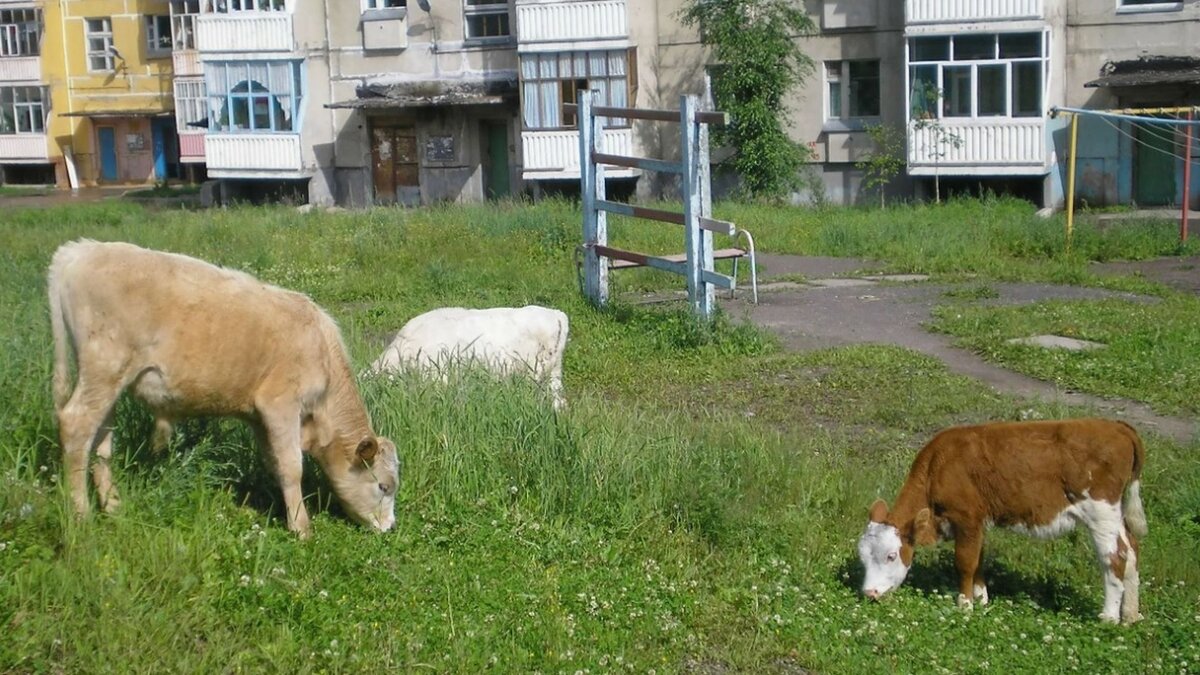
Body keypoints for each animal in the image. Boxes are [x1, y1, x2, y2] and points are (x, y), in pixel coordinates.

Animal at [49, 236, 400, 535]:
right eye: (383, 486)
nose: (389, 527)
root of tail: (79, 250)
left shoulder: (259, 415)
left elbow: (275, 463)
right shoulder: (281, 404)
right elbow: (291, 467)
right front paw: (302, 528)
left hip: (106, 381)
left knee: (100, 441)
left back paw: (112, 506)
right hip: (104, 367)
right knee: (76, 425)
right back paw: (81, 516)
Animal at [859, 417, 1147, 624]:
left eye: (891, 556)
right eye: (862, 557)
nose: (869, 593)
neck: (939, 466)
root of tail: (1116, 427)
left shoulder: (967, 518)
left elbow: (965, 562)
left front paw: (965, 605)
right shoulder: (979, 522)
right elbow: (979, 559)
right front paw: (981, 598)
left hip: (1101, 512)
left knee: (1115, 557)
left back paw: (1109, 617)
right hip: (1116, 513)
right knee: (1132, 550)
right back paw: (1131, 615)